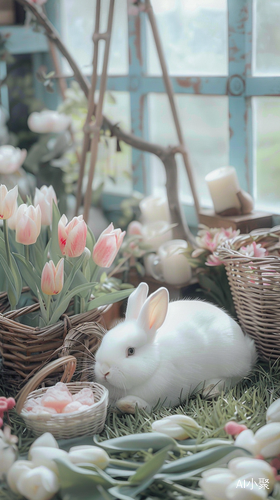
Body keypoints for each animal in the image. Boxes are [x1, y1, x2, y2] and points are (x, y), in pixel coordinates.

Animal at [95, 284, 258, 412]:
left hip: (229, 363)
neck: (156, 363)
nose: (104, 370)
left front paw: (128, 405)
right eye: (104, 340)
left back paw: (210, 390)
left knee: (229, 380)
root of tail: (246, 347)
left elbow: (148, 407)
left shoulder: (163, 398)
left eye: (131, 351)